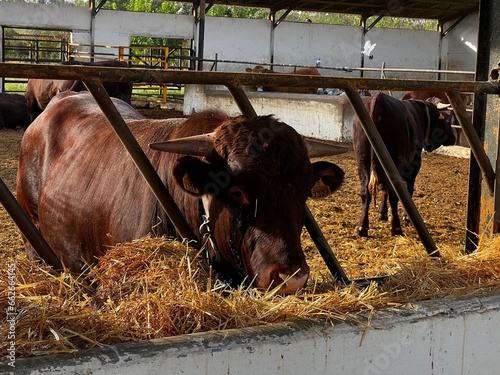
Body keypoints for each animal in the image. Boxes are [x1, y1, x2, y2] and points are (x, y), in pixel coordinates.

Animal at [352, 92, 458, 236]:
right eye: (446, 120)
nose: (454, 137)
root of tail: (379, 98)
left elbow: (384, 189)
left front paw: (382, 213)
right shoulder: (413, 165)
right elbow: (408, 189)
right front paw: (406, 218)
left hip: (363, 161)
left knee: (366, 192)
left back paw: (362, 227)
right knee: (393, 194)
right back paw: (396, 228)